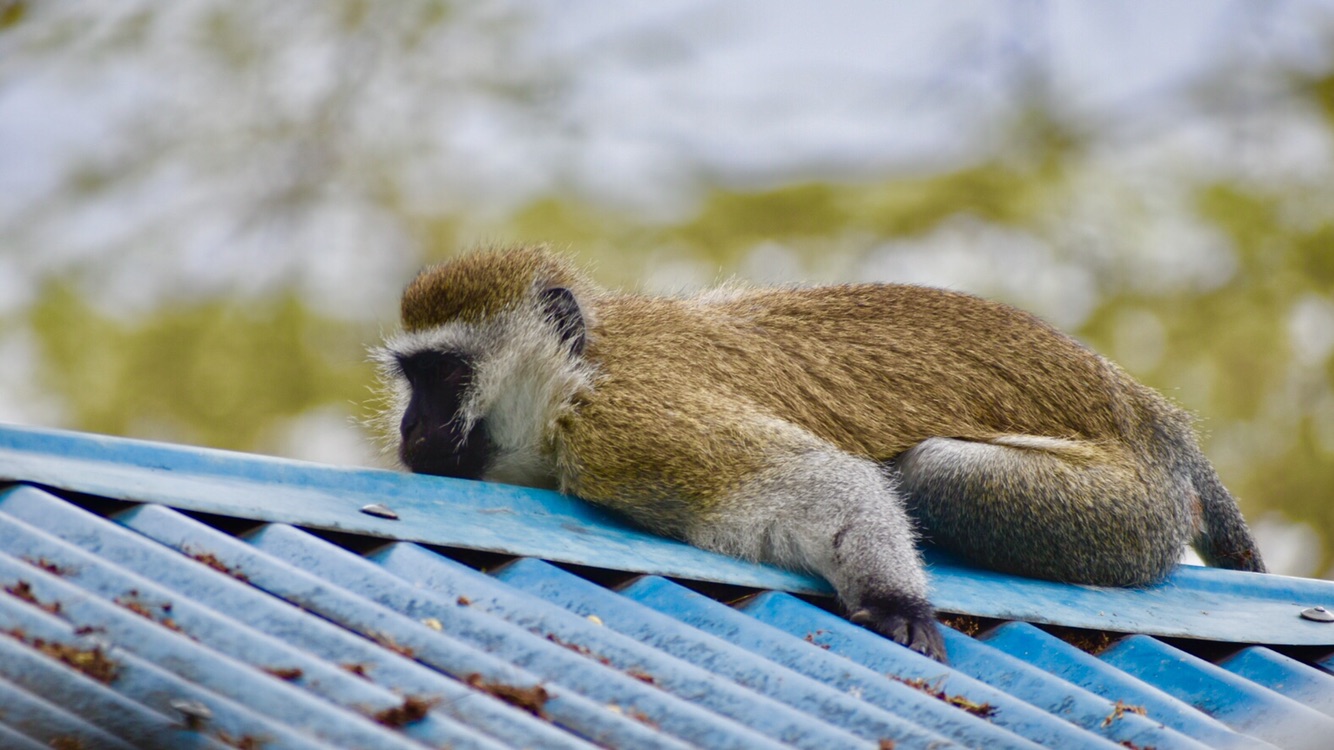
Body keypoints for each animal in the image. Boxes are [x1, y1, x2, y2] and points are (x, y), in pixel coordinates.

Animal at [373, 245, 1259, 659]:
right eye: (411, 380)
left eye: (444, 377)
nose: (411, 429)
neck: (580, 371)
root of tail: (1150, 413)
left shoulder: (629, 427)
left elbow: (814, 482)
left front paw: (896, 601)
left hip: (1127, 512)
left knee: (930, 473)